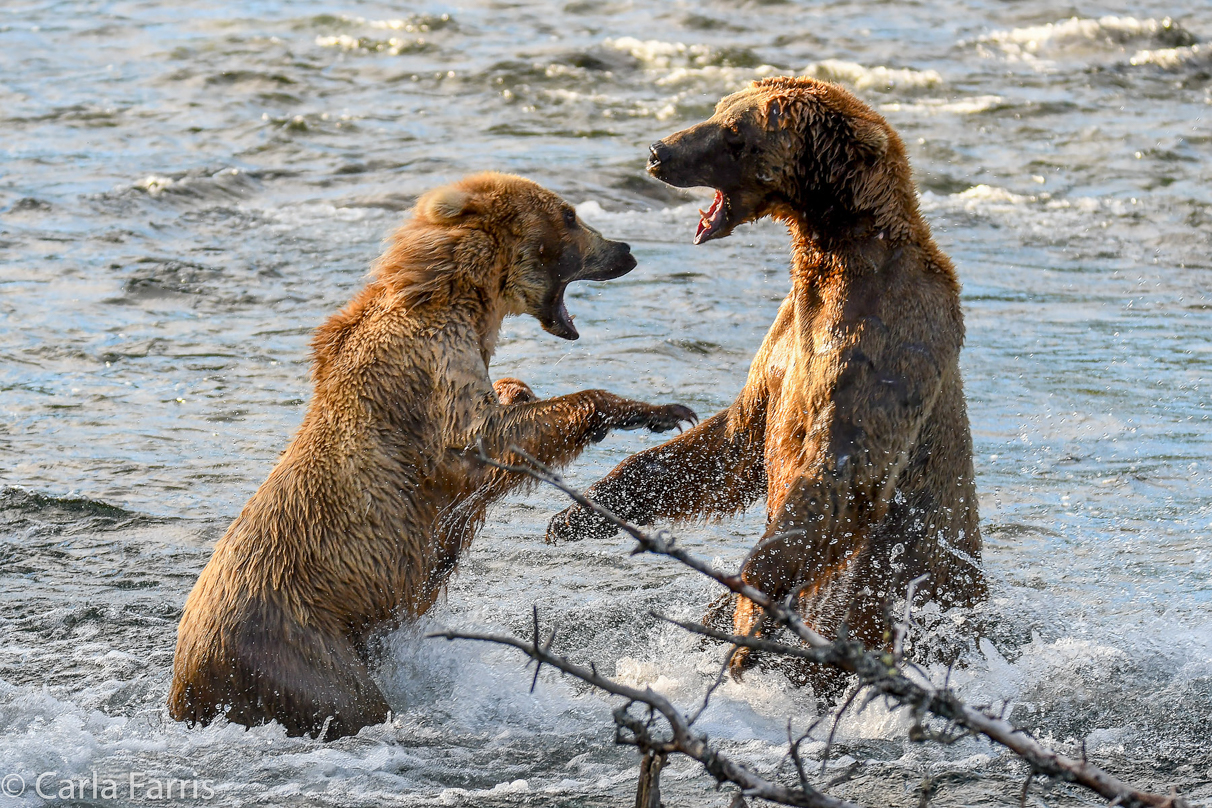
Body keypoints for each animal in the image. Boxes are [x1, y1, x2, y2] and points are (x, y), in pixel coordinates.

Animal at [172, 172, 702, 741]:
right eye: (570, 215)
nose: (625, 250)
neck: (458, 295)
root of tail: (185, 689)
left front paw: (521, 389)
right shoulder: (431, 370)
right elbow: (482, 440)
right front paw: (659, 410)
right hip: (296, 648)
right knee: (350, 700)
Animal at [550, 78, 984, 678]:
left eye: (736, 133)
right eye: (718, 109)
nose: (660, 151)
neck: (833, 258)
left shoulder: (885, 347)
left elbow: (836, 474)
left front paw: (750, 625)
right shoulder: (785, 346)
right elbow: (734, 437)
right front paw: (581, 511)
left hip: (902, 591)